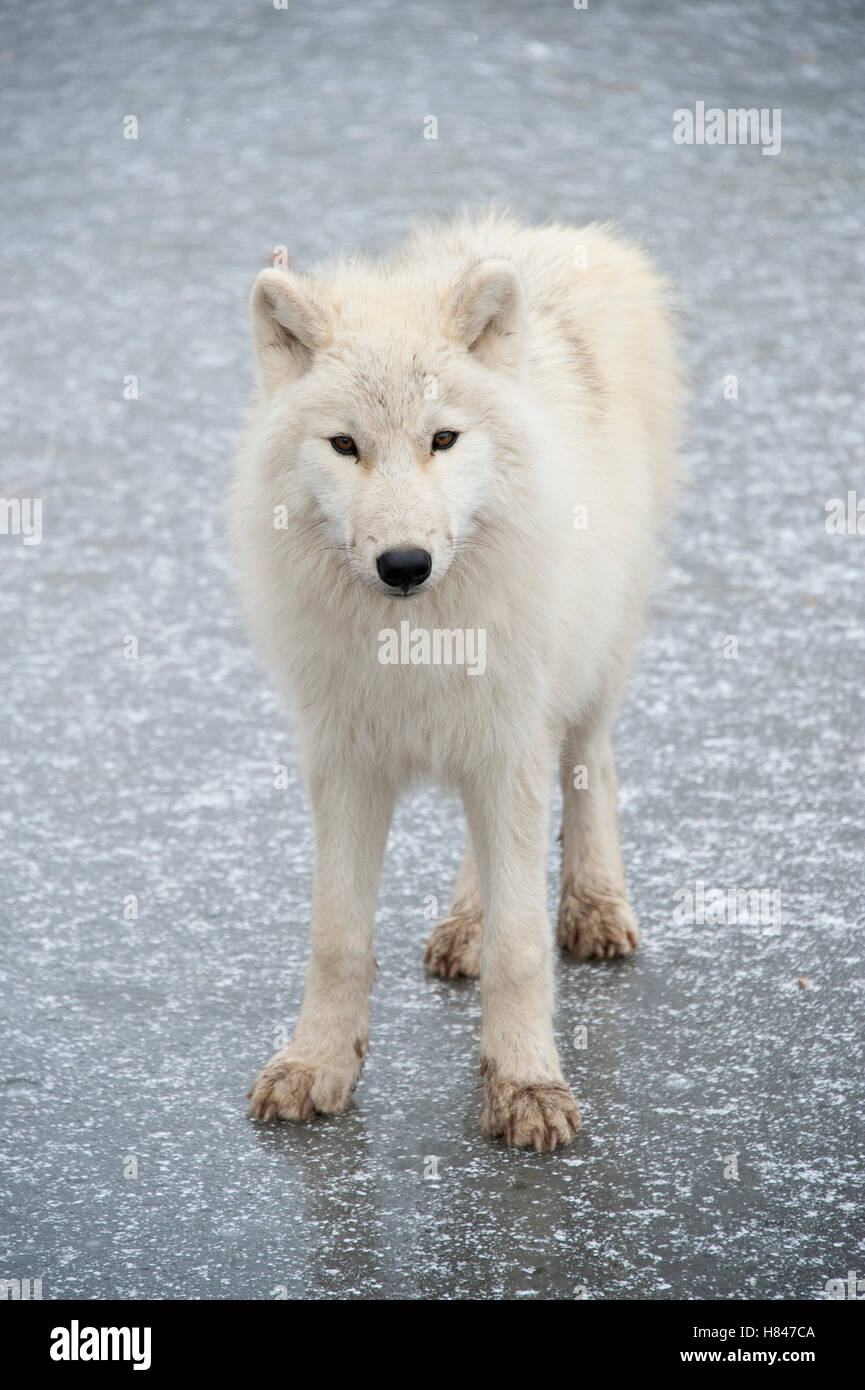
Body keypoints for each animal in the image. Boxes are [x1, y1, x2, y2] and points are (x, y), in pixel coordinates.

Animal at [230, 210, 681, 1150]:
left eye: (443, 439)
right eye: (345, 445)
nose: (404, 563)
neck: (415, 648)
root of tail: (553, 232)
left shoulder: (509, 745)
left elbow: (521, 949)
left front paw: (525, 1085)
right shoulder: (348, 761)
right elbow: (336, 938)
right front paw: (315, 1065)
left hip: (587, 665)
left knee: (590, 764)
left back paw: (593, 907)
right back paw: (463, 926)